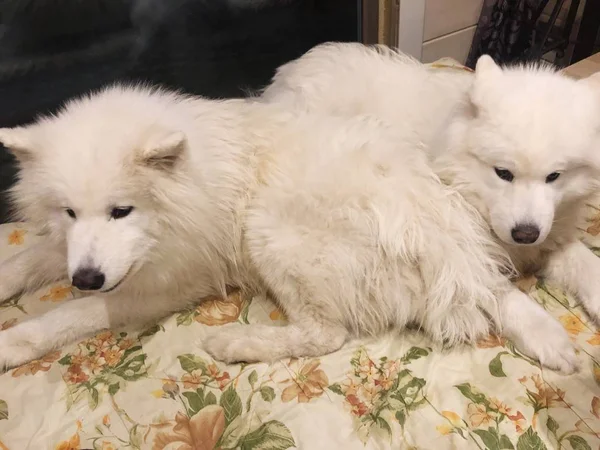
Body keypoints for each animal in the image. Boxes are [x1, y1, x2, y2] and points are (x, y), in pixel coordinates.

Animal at [0, 84, 510, 370]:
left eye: (121, 211)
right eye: (68, 212)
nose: (86, 278)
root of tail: (450, 250)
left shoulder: (169, 286)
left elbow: (73, 314)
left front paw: (14, 343)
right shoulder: (79, 252)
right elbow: (30, 260)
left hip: (267, 232)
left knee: (326, 335)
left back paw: (237, 342)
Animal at [262, 42, 600, 372]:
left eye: (554, 176)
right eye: (503, 173)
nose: (525, 234)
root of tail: (290, 71)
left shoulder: (549, 237)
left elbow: (585, 262)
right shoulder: (458, 252)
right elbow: (497, 292)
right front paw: (546, 335)